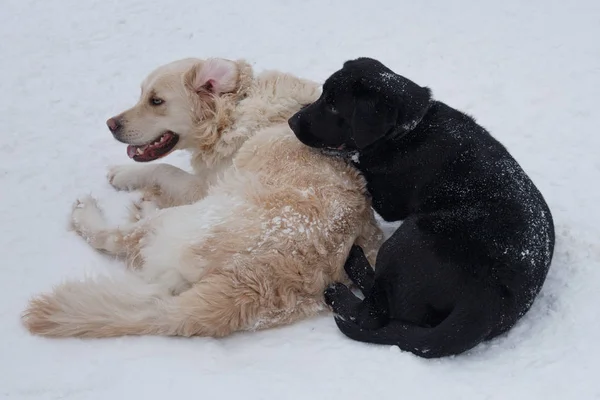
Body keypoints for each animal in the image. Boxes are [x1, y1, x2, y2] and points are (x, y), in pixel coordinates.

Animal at [23, 57, 384, 338]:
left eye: (156, 101)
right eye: (142, 95)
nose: (111, 124)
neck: (236, 108)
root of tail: (244, 287)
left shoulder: (204, 185)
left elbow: (165, 169)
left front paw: (124, 174)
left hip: (188, 217)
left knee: (117, 239)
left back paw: (90, 213)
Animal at [288, 57, 556, 360]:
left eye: (334, 106)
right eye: (322, 96)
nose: (291, 121)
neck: (409, 129)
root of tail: (489, 299)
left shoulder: (387, 198)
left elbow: (358, 160)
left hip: (409, 237)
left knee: (373, 314)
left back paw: (346, 280)